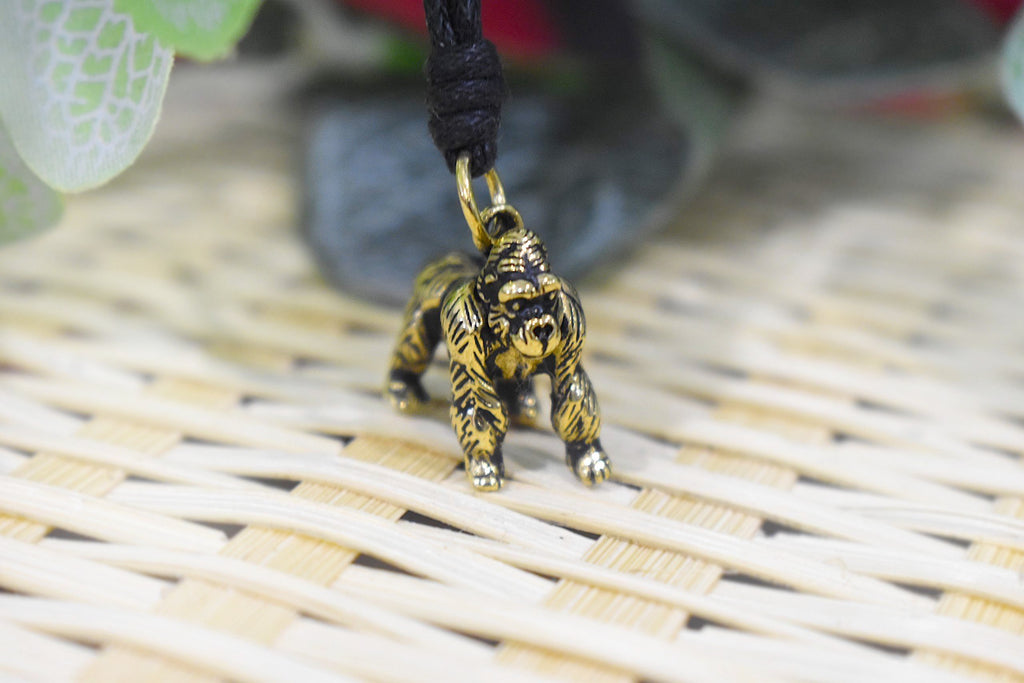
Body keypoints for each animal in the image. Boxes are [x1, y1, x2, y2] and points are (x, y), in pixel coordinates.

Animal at [386, 217, 611, 491]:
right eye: (517, 303)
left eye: (548, 298)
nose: (542, 328)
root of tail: (446, 258)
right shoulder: (463, 325)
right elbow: (477, 401)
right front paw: (484, 462)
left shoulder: (571, 313)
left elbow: (572, 389)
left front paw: (587, 454)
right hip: (425, 303)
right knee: (413, 347)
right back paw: (402, 385)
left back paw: (522, 405)